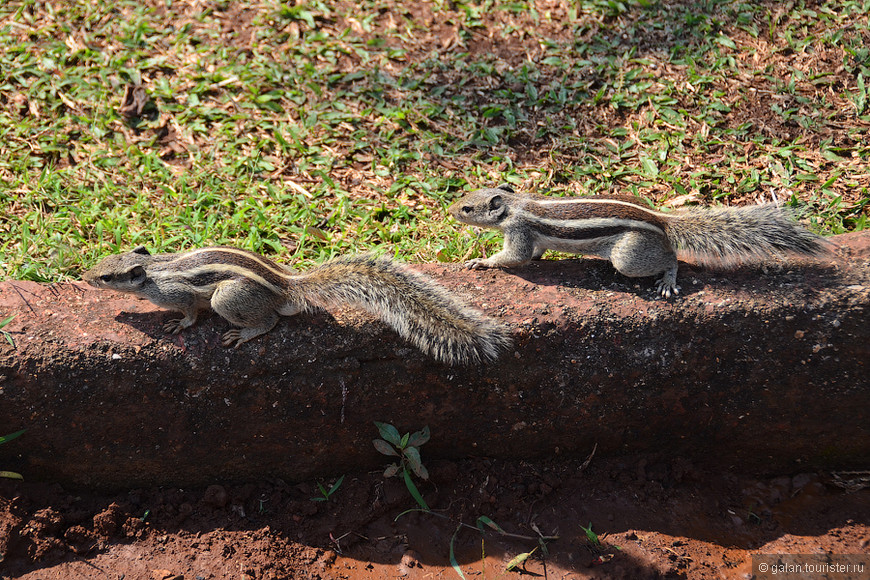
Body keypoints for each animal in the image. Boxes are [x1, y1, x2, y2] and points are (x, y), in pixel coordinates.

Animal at [83, 246, 510, 364]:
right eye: (102, 263)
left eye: (106, 277)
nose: (85, 277)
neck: (153, 270)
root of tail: (288, 286)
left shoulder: (177, 293)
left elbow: (188, 311)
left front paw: (177, 326)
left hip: (228, 298)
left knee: (271, 320)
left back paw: (245, 333)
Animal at [450, 185, 832, 296]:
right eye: (464, 195)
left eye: (467, 207)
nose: (450, 210)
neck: (515, 205)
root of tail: (660, 219)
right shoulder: (531, 236)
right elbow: (536, 253)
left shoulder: (518, 232)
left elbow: (514, 258)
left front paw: (480, 261)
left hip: (628, 257)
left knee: (671, 258)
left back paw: (667, 281)